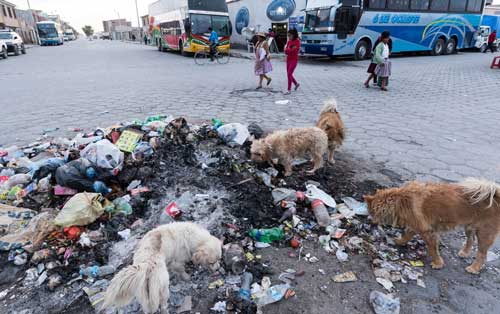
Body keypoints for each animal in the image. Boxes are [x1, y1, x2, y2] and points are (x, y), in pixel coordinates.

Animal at [364, 178, 500, 274]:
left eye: (371, 212)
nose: (369, 221)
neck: (399, 201)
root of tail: (495, 197)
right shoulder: (415, 225)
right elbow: (407, 235)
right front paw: (400, 241)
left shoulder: (427, 232)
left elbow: (432, 250)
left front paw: (438, 263)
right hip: (469, 227)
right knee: (470, 240)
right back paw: (465, 252)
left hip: (484, 233)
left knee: (482, 255)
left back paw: (474, 268)